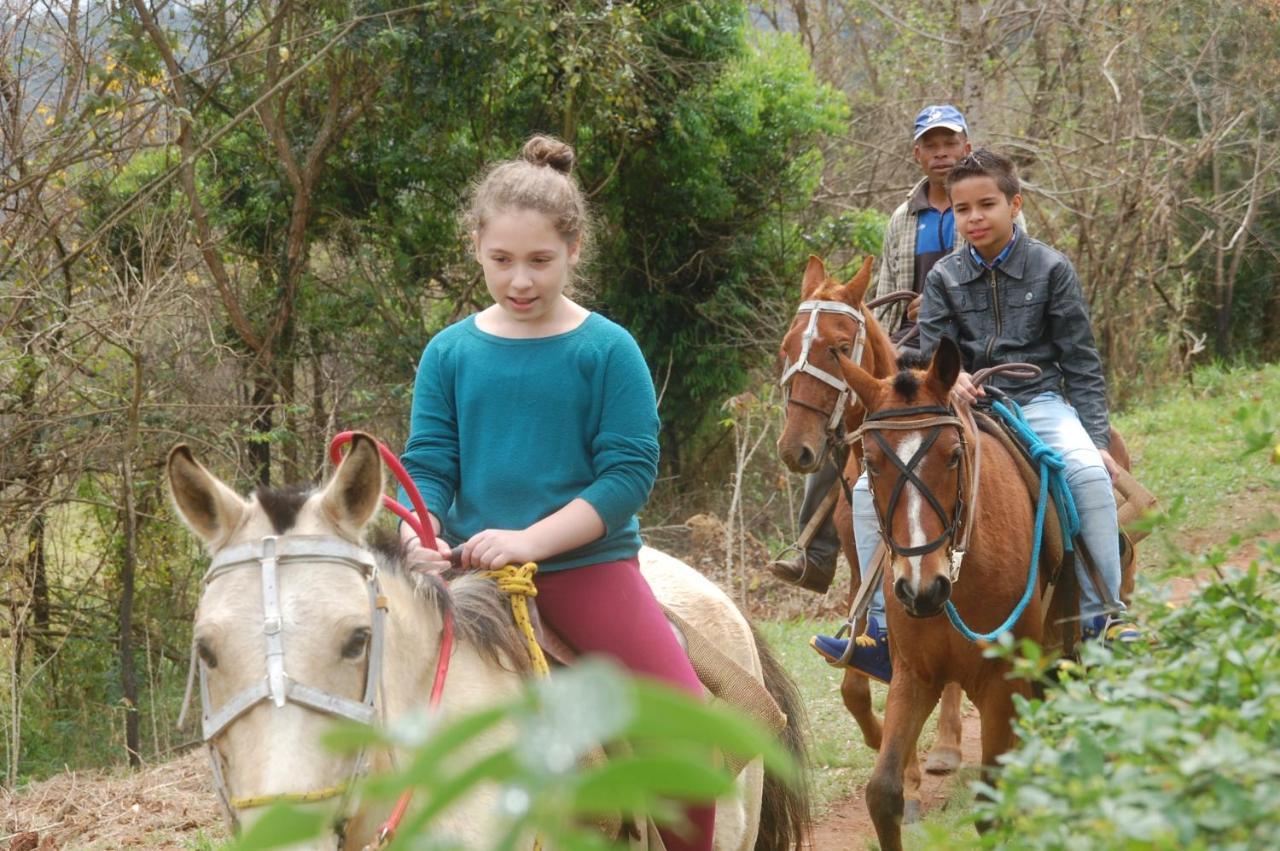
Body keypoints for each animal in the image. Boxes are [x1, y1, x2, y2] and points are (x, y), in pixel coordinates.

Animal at [773, 257, 962, 819]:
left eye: (838, 347)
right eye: (786, 347)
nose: (796, 449)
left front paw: (912, 774)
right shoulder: (866, 569)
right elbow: (856, 685)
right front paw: (889, 750)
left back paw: (947, 745)